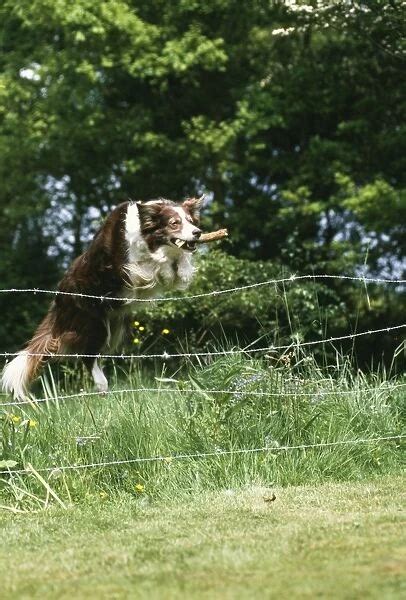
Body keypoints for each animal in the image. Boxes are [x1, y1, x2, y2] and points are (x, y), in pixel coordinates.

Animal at [1, 197, 201, 400]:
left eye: (191, 221)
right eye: (174, 223)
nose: (198, 233)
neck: (145, 234)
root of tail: (59, 299)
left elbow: (180, 257)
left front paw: (183, 270)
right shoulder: (129, 269)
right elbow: (157, 263)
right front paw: (167, 270)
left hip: (116, 326)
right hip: (93, 325)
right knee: (86, 356)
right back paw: (102, 384)